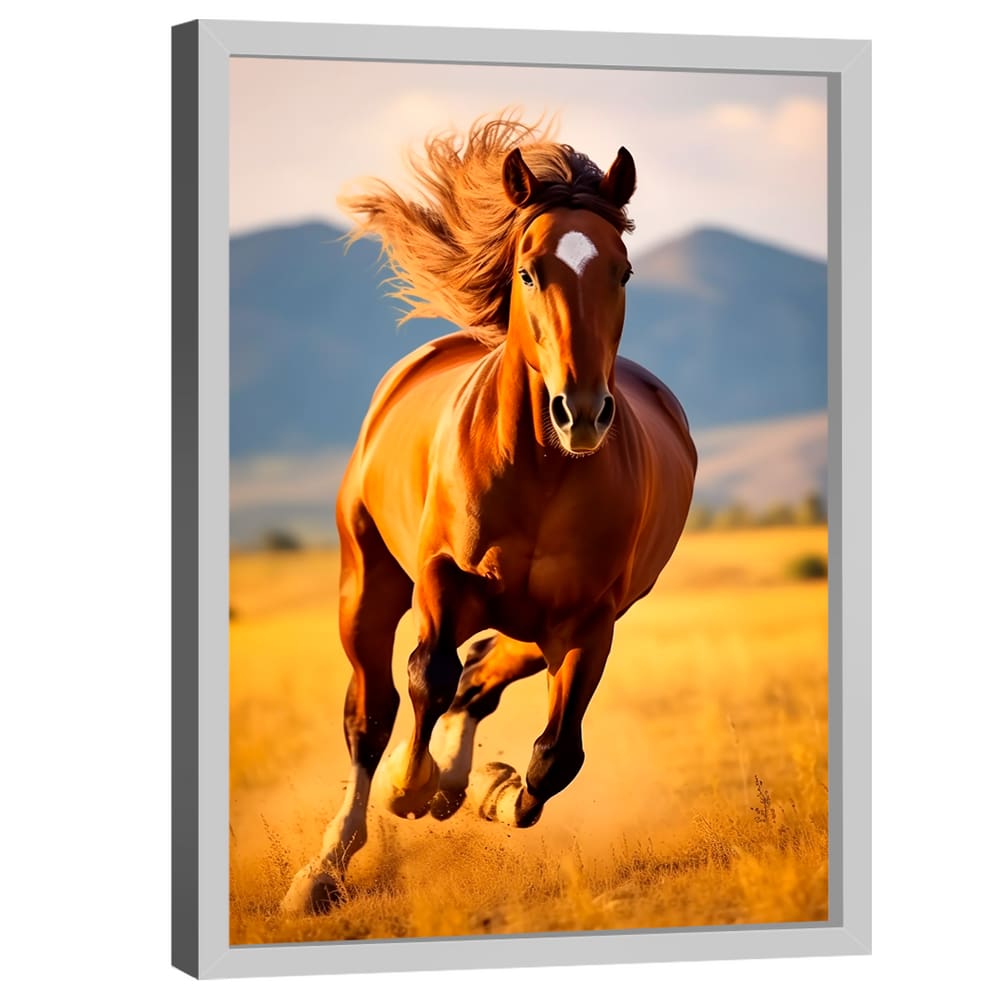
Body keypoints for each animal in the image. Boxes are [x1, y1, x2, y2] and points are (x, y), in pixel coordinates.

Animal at [281, 117, 697, 915]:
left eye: (623, 272)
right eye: (530, 271)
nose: (582, 414)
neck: (539, 469)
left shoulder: (590, 621)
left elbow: (556, 754)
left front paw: (486, 792)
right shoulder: (444, 580)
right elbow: (426, 677)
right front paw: (410, 789)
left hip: (547, 622)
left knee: (481, 678)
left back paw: (458, 783)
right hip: (368, 583)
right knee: (373, 709)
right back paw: (326, 865)